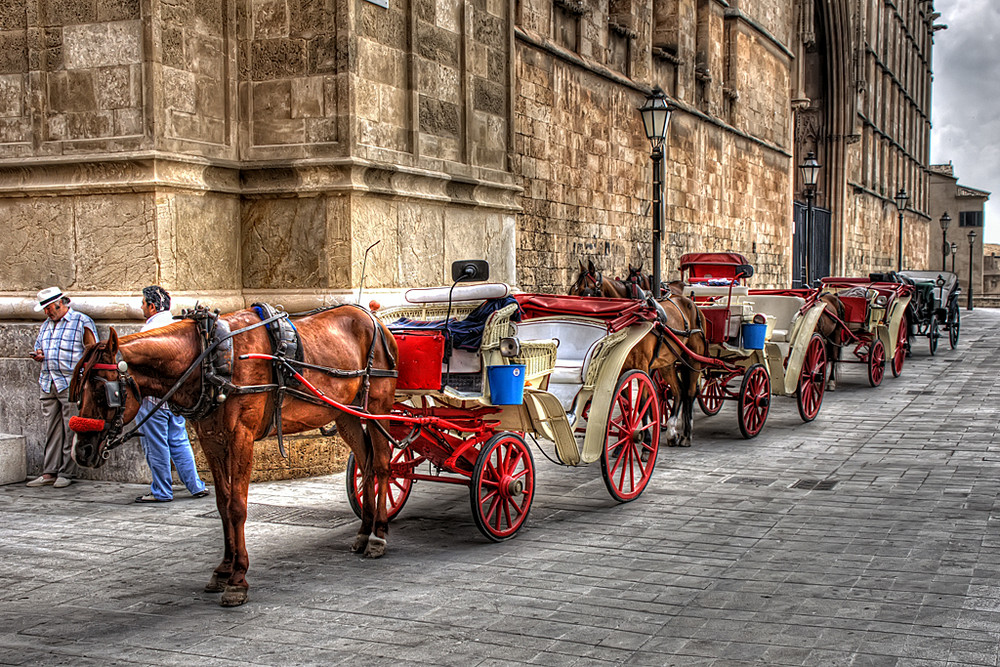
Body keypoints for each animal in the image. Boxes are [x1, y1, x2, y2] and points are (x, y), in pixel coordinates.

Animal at [67, 306, 398, 608]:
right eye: (77, 388)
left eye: (103, 391)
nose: (82, 451)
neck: (210, 358)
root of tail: (373, 318)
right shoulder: (211, 439)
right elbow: (222, 504)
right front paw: (223, 569)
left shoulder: (242, 436)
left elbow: (237, 507)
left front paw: (238, 579)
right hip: (346, 413)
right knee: (366, 463)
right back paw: (364, 531)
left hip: (378, 404)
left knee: (383, 465)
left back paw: (379, 535)